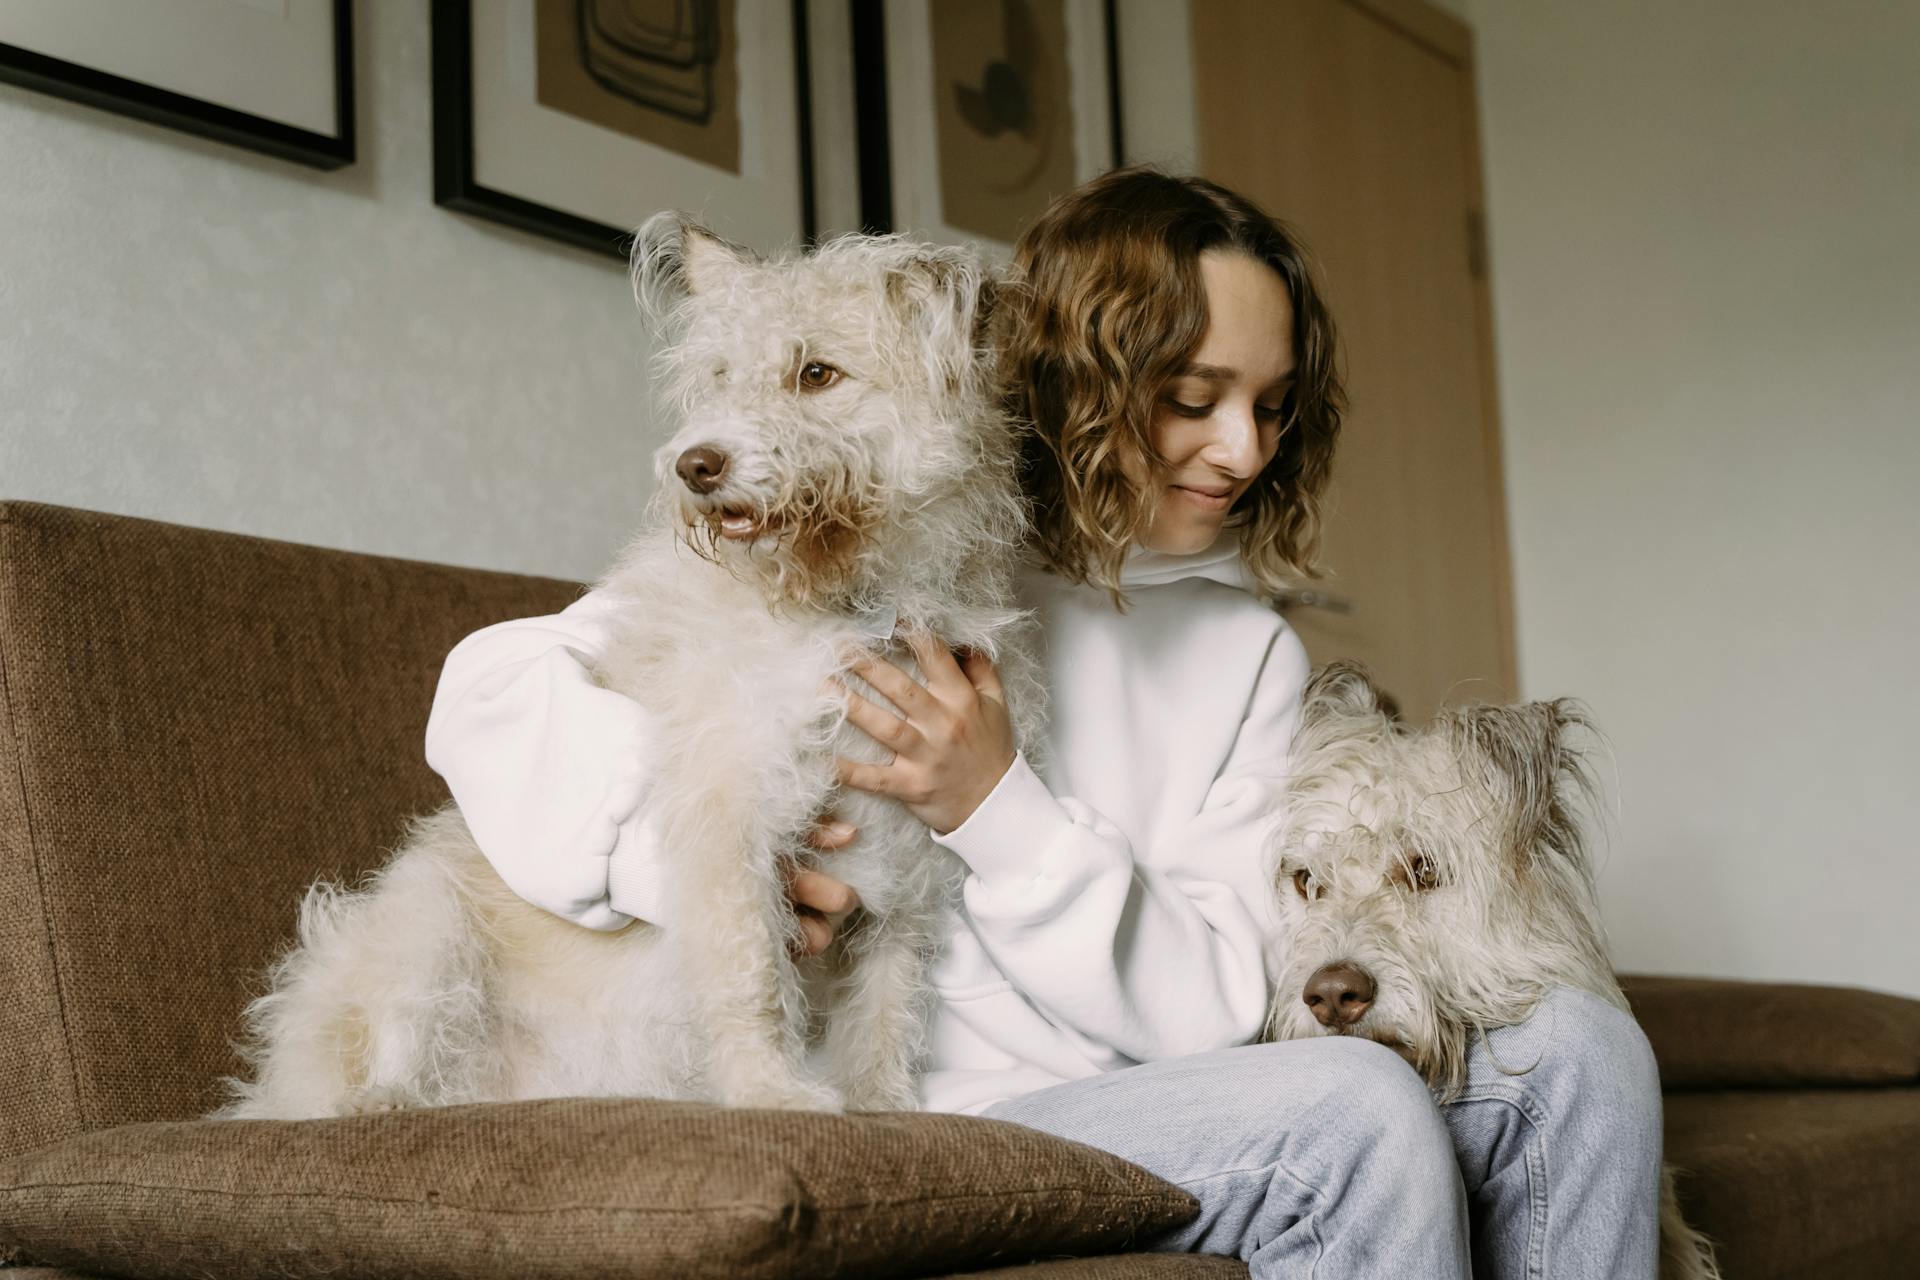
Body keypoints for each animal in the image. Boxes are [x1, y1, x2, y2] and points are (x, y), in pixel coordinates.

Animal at [217, 217, 1044, 1120]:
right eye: (719, 378)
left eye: (816, 373)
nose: (696, 464)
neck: (856, 606)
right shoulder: (732, 824)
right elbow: (751, 974)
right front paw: (768, 1092)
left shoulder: (904, 882)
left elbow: (887, 1019)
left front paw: (883, 1113)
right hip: (419, 921)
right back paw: (384, 1103)